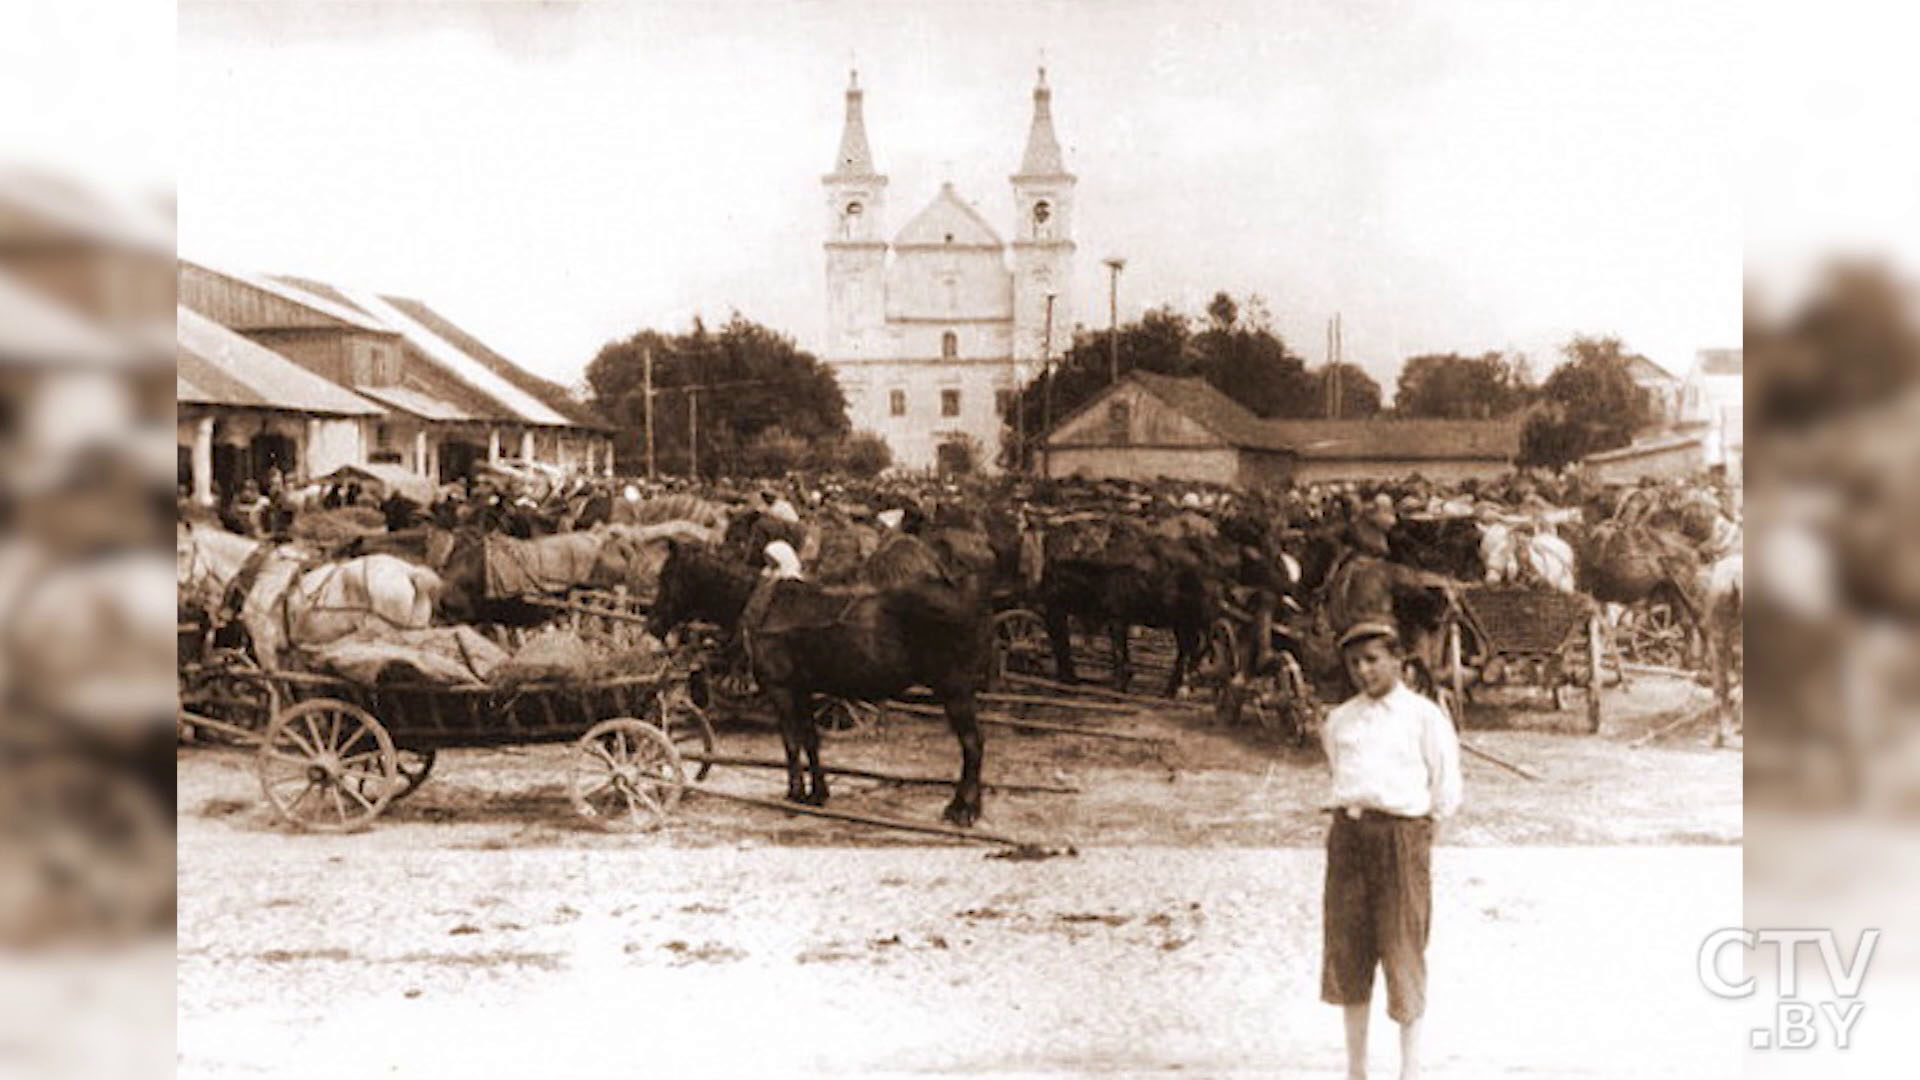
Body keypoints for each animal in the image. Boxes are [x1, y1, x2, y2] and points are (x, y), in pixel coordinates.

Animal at [652, 538, 998, 822]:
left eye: (667, 576)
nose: (652, 624)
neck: (765, 608)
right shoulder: (801, 689)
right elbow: (810, 739)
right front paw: (817, 793)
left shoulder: (781, 690)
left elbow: (791, 742)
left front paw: (794, 794)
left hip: (954, 689)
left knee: (972, 743)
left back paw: (962, 809)